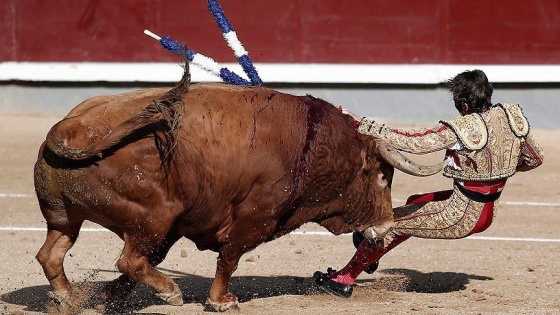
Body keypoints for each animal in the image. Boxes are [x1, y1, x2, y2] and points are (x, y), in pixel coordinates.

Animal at [34, 67, 442, 314]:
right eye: (383, 178)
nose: (385, 227)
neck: (312, 145)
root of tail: (69, 127)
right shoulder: (256, 217)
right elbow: (229, 257)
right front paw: (221, 301)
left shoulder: (185, 222)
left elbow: (160, 258)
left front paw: (108, 295)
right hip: (154, 216)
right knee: (129, 258)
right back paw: (170, 292)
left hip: (68, 218)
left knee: (52, 254)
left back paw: (67, 298)